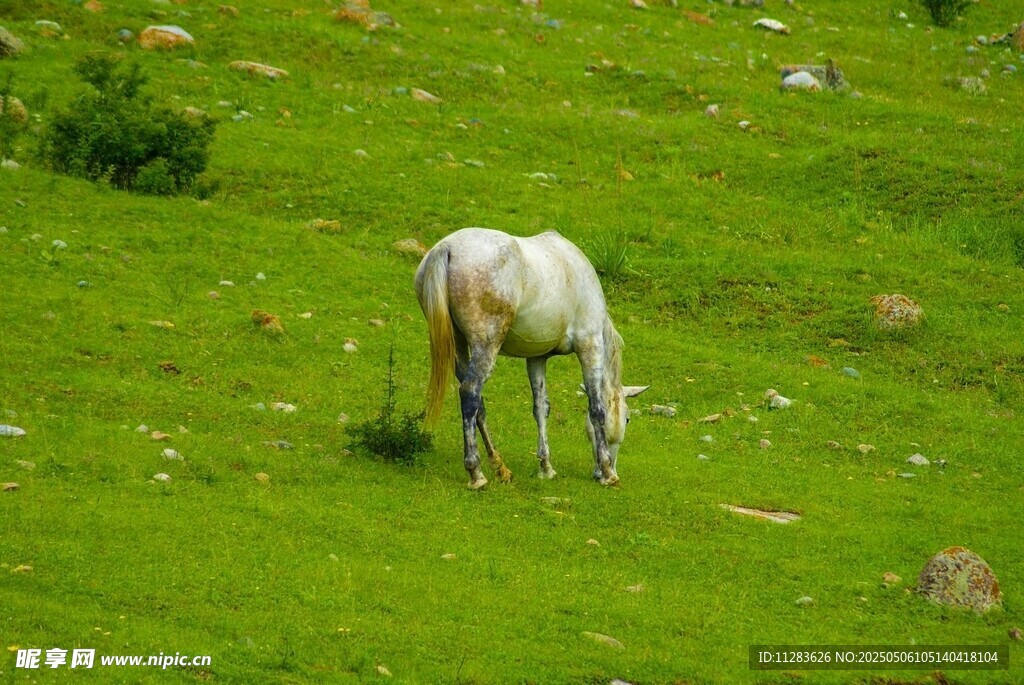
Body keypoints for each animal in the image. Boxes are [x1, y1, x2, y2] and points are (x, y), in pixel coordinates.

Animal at [414, 227, 648, 489]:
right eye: (626, 419)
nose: (605, 470)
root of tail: (447, 248)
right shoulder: (590, 344)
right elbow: (596, 408)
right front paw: (608, 472)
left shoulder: (537, 358)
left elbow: (541, 408)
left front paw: (546, 467)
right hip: (485, 347)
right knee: (470, 393)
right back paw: (476, 473)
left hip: (457, 345)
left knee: (478, 405)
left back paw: (501, 468)